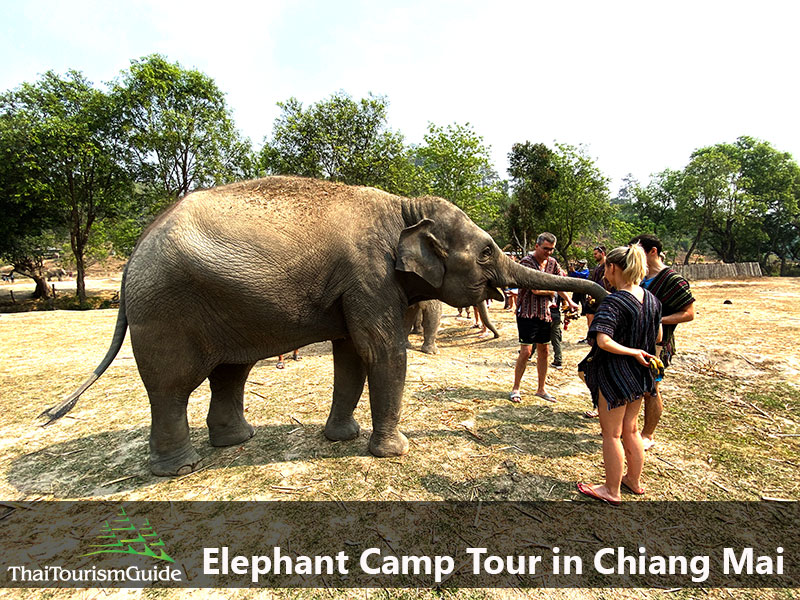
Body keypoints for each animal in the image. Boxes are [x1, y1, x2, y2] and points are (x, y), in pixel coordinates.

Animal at [42, 176, 608, 476]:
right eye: (489, 252)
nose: (599, 294)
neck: (405, 206)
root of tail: (134, 252)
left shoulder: (355, 288)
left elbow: (352, 356)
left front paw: (342, 439)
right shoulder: (369, 277)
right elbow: (383, 353)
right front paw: (394, 452)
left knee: (230, 372)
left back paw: (237, 442)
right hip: (165, 312)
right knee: (171, 387)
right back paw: (180, 469)